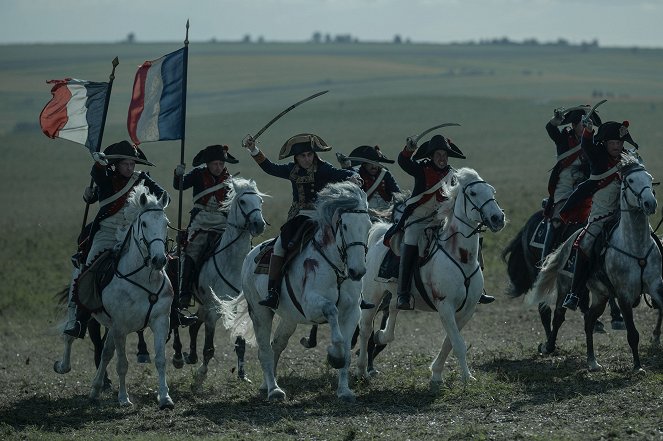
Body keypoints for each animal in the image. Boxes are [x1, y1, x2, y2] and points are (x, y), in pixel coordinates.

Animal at [54, 184, 174, 408]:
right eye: (144, 223)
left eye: (166, 223)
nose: (159, 260)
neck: (142, 279)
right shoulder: (120, 327)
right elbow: (122, 363)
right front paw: (124, 398)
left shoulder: (160, 321)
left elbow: (160, 360)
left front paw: (165, 398)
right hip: (81, 311)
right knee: (70, 336)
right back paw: (62, 366)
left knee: (105, 352)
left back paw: (95, 388)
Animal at [174, 175, 270, 388]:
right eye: (242, 201)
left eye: (260, 201)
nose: (259, 225)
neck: (232, 262)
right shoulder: (213, 310)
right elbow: (209, 347)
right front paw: (201, 374)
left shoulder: (238, 308)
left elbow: (240, 343)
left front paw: (242, 374)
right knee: (180, 323)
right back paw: (179, 357)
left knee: (194, 324)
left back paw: (190, 356)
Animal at [220, 180, 370, 400]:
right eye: (345, 225)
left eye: (368, 226)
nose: (357, 271)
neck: (335, 267)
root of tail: (250, 256)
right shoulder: (311, 307)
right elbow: (332, 312)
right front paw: (335, 356)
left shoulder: (351, 312)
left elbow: (348, 351)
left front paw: (344, 390)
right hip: (260, 312)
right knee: (265, 350)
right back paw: (274, 390)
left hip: (289, 318)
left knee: (276, 345)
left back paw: (266, 385)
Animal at [358, 168, 508, 384]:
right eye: (473, 193)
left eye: (492, 191)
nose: (498, 218)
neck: (460, 257)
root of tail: (378, 237)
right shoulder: (445, 306)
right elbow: (458, 344)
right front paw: (466, 377)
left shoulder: (467, 310)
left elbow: (449, 343)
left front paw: (437, 373)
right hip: (372, 297)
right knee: (365, 328)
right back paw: (362, 369)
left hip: (393, 295)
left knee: (393, 309)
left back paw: (382, 336)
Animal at [528, 158, 663, 372]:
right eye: (630, 180)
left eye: (649, 178)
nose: (650, 203)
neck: (635, 247)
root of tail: (571, 241)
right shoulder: (624, 295)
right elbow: (633, 334)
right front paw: (637, 367)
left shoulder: (656, 286)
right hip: (566, 286)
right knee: (559, 315)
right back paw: (549, 346)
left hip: (601, 295)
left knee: (589, 319)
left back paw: (592, 361)